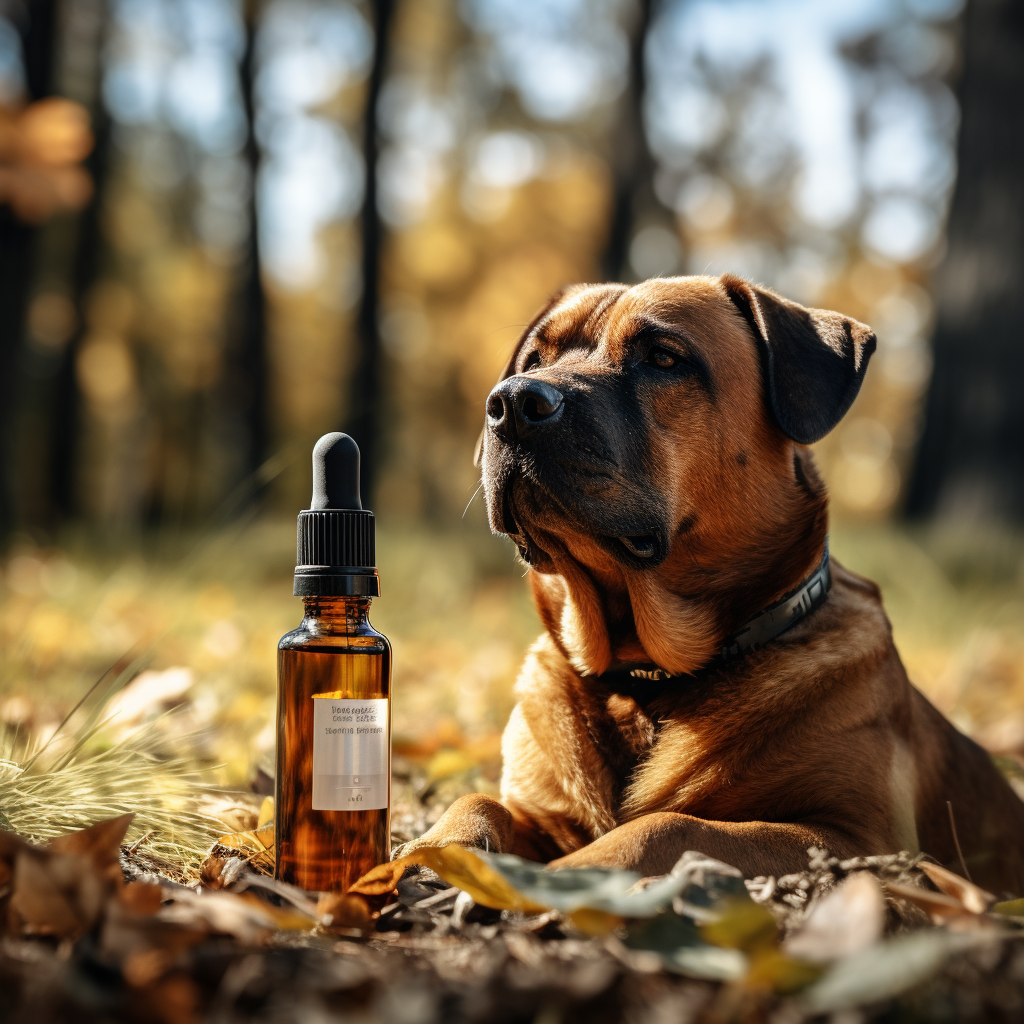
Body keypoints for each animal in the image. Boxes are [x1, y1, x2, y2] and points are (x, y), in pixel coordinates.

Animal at [395, 272, 1024, 897]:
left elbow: (668, 825)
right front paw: (423, 856)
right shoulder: (542, 814)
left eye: (663, 358)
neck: (643, 679)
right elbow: (478, 803)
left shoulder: (860, 840)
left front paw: (559, 879)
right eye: (533, 360)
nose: (512, 403)